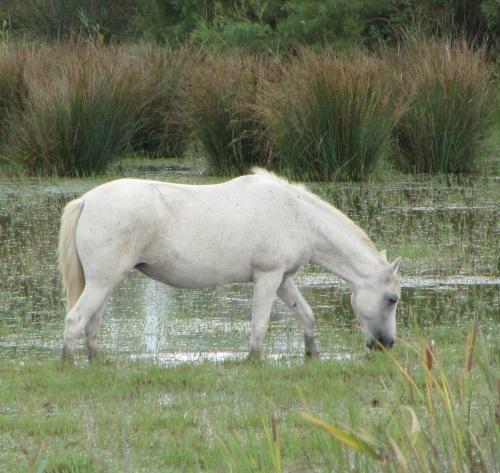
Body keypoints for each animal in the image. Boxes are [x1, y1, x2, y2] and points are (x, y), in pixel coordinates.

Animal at [58, 170, 400, 362]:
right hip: (102, 282)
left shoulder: (283, 280)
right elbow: (259, 327)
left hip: (104, 284)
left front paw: (312, 354)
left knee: (91, 327)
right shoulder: (268, 277)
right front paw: (254, 361)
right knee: (75, 321)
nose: (387, 344)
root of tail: (86, 200)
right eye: (392, 298)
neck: (298, 215)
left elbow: (307, 316)